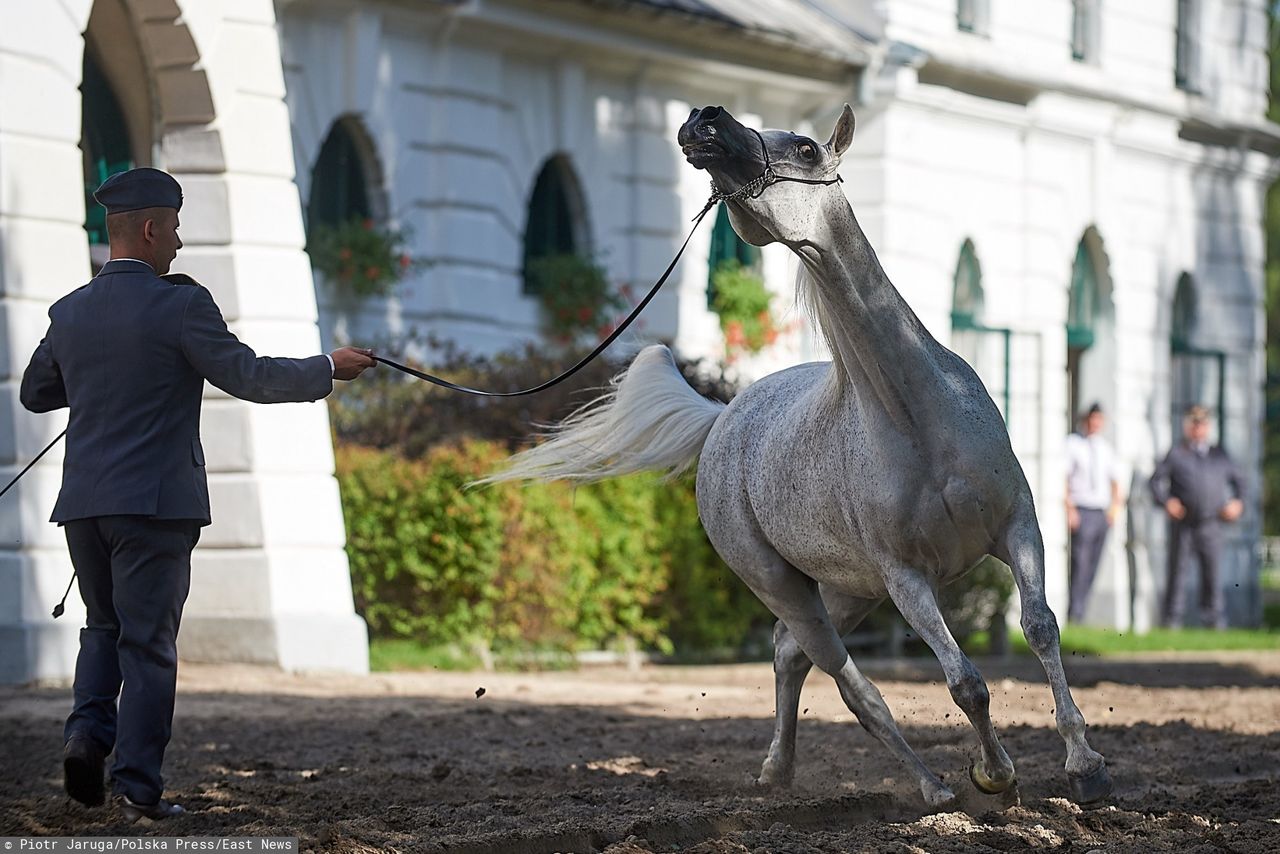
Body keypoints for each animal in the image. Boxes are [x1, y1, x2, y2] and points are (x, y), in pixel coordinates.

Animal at [488, 106, 1111, 809]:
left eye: (807, 148)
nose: (703, 120)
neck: (920, 419)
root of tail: (723, 419)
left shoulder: (1017, 528)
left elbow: (1040, 627)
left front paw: (1086, 766)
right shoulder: (907, 578)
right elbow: (966, 682)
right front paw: (996, 776)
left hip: (846, 589)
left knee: (794, 658)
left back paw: (778, 770)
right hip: (787, 585)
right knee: (849, 683)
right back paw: (930, 789)